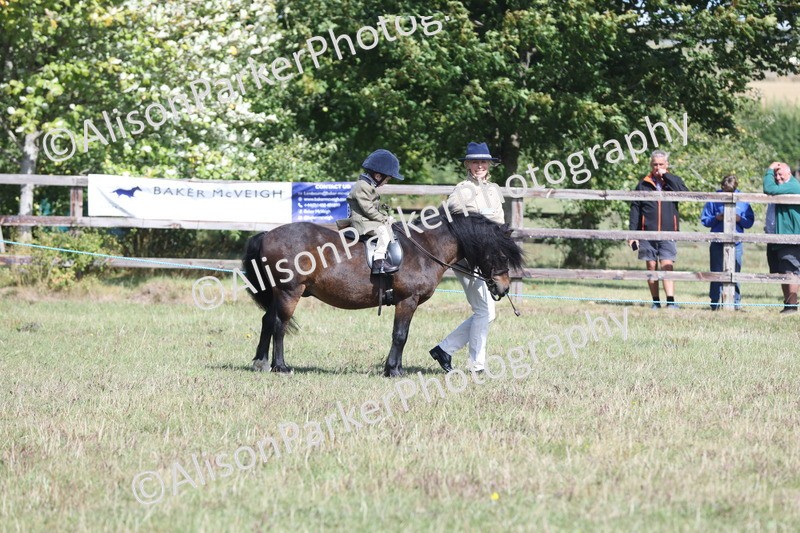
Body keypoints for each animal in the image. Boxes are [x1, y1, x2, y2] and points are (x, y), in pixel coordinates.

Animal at [241, 209, 524, 376]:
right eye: (500, 255)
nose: (503, 287)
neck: (424, 248)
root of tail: (267, 233)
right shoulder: (407, 300)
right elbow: (400, 335)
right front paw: (394, 371)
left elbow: (400, 336)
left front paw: (394, 368)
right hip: (289, 291)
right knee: (279, 324)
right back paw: (280, 366)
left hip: (277, 293)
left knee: (267, 321)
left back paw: (260, 363)